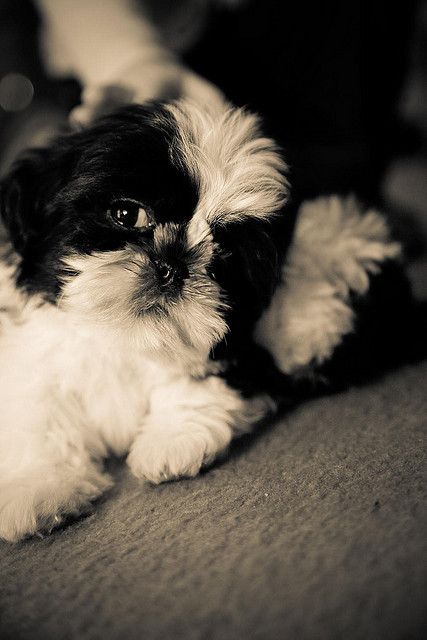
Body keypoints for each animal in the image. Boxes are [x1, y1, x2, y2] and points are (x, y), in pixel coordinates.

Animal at [0, 99, 414, 540]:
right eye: (126, 213)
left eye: (225, 257)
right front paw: (40, 485)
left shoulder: (238, 351)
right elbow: (38, 420)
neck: (128, 339)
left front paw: (171, 440)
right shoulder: (36, 363)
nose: (172, 265)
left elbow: (203, 382)